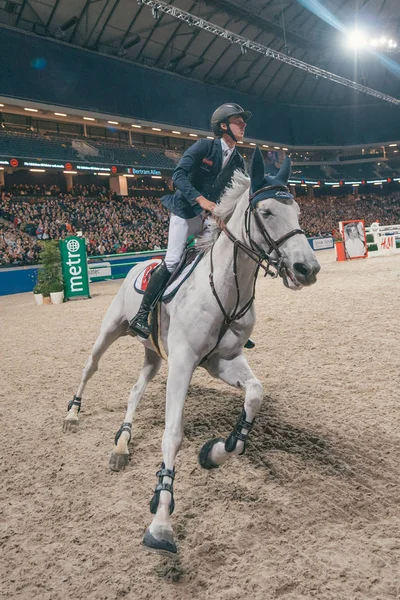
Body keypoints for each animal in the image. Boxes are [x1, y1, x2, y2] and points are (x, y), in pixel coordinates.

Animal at [63, 148, 322, 556]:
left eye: (297, 210)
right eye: (266, 212)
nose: (307, 268)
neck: (227, 288)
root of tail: (142, 261)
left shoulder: (222, 361)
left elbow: (255, 394)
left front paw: (216, 452)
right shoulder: (184, 363)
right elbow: (173, 434)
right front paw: (161, 521)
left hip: (154, 355)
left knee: (134, 391)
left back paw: (122, 443)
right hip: (111, 331)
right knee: (91, 366)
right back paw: (72, 414)